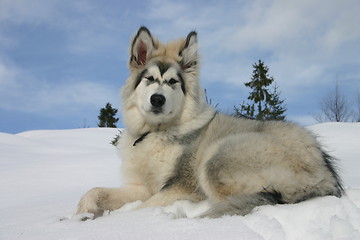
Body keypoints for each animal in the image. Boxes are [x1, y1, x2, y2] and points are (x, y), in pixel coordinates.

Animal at [76, 26, 344, 219]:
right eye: (150, 79)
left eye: (173, 82)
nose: (157, 99)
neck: (155, 133)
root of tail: (324, 172)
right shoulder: (140, 187)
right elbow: (94, 190)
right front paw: (80, 214)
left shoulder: (180, 186)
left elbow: (142, 208)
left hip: (217, 157)